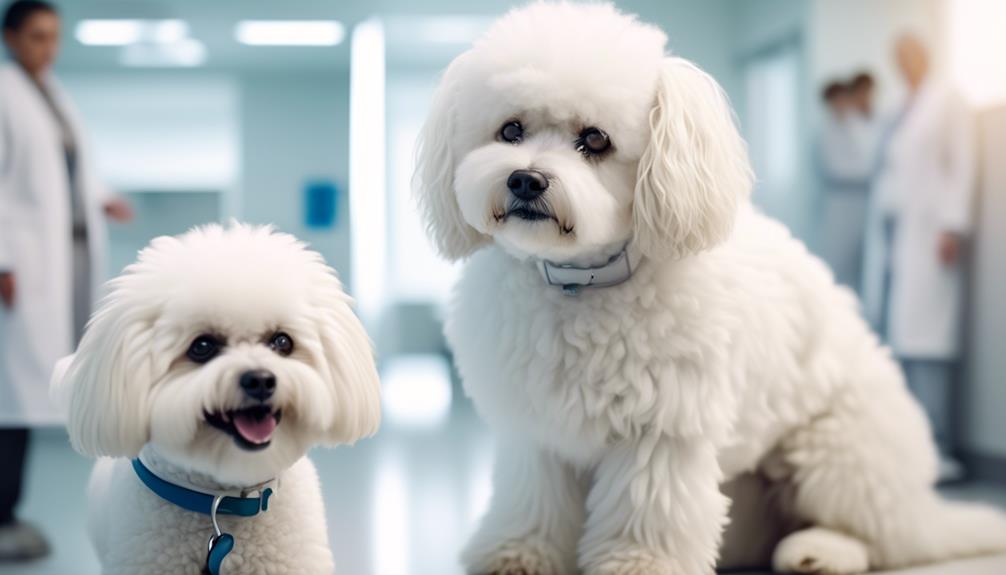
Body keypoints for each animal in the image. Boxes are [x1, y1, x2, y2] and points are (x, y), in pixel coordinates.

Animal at [412, 2, 1006, 570]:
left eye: (594, 140)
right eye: (510, 130)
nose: (526, 179)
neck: (581, 284)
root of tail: (921, 508)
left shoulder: (663, 428)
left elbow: (646, 506)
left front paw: (639, 563)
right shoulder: (536, 430)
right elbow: (531, 498)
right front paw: (518, 554)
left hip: (836, 454)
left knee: (881, 540)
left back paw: (821, 551)